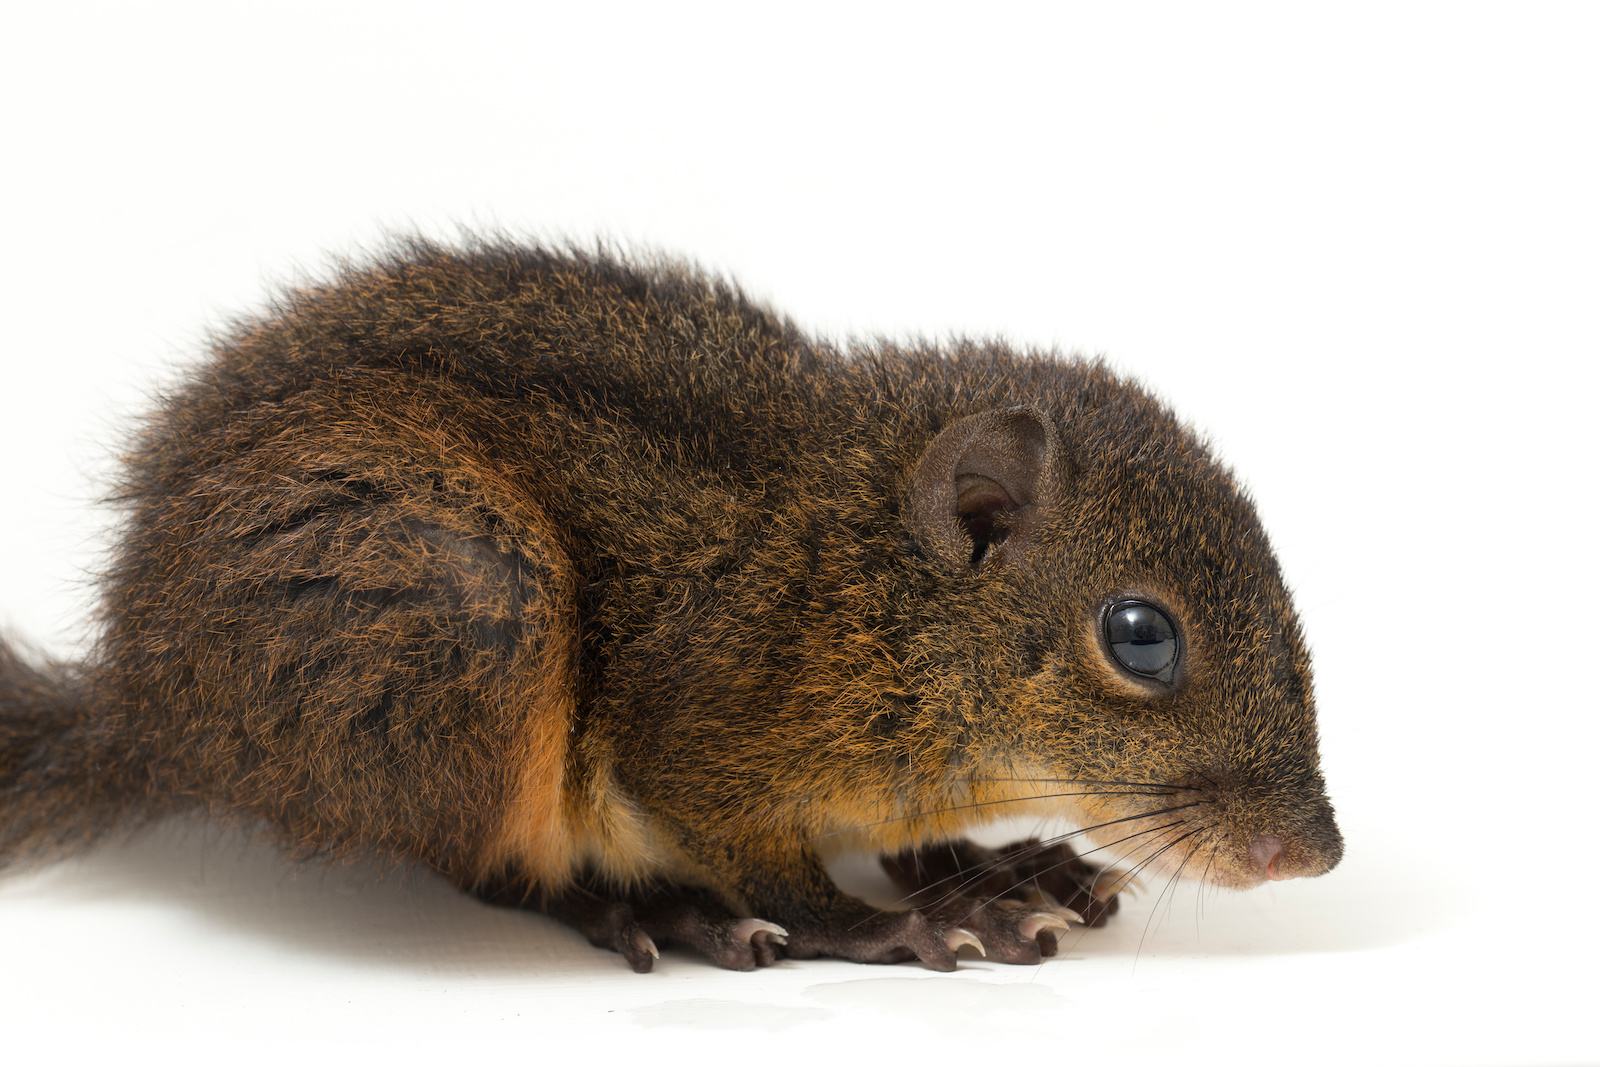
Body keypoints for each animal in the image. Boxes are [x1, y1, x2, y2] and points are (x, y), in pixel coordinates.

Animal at [0, 238, 1342, 972]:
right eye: (1140, 635)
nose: (1316, 851)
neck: (859, 584)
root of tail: (153, 711)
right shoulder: (706, 719)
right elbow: (765, 858)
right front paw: (889, 924)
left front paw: (990, 871)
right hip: (466, 610)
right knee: (488, 867)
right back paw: (651, 902)